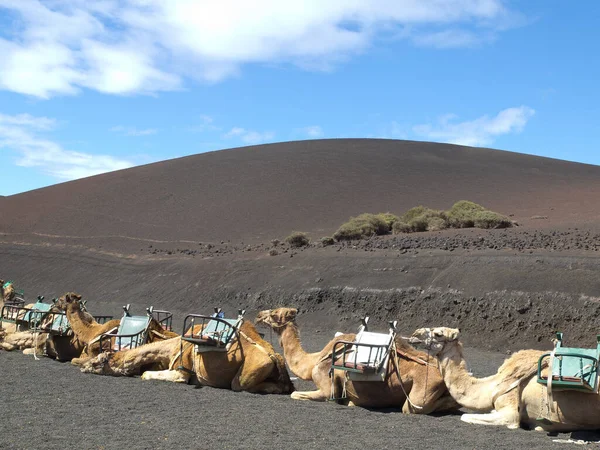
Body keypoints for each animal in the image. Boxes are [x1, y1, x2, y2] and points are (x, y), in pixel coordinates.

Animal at [79, 318, 296, 396]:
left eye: (99, 361)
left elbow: (146, 374)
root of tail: (274, 355)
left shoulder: (181, 372)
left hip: (247, 373)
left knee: (240, 385)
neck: (173, 345)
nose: (83, 366)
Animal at [255, 308, 458, 414]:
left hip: (420, 394)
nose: (258, 315)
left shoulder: (327, 387)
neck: (313, 361)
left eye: (274, 314)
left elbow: (296, 394)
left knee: (413, 407)